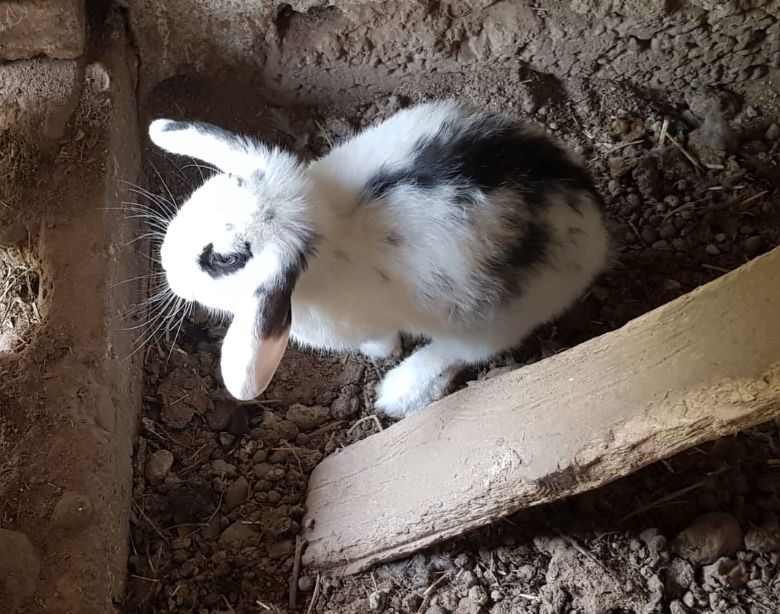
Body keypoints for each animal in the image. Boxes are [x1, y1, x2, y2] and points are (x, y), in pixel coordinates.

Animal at [148, 100, 610, 419]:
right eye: (217, 186)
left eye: (224, 260)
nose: (166, 263)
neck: (325, 229)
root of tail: (594, 224)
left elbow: (381, 341)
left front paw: (382, 353)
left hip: (494, 321)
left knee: (461, 353)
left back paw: (398, 391)